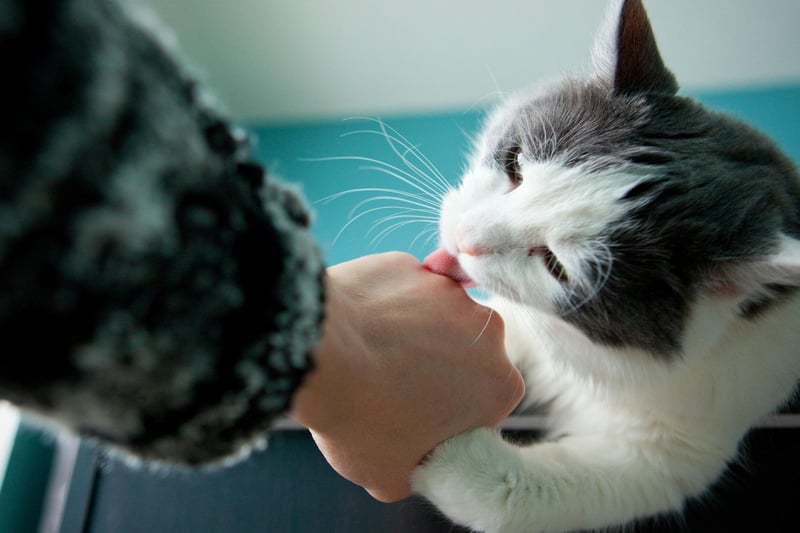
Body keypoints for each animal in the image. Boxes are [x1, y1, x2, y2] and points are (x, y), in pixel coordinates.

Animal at [416, 1, 800, 532]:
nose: (464, 240)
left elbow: (515, 495)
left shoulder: (670, 454)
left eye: (557, 266)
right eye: (515, 165)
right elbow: (498, 330)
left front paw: (441, 449)